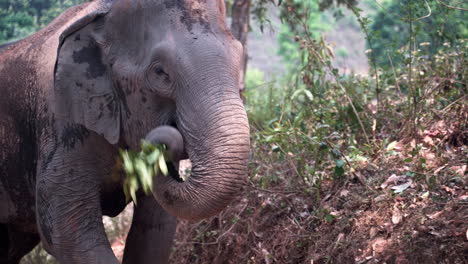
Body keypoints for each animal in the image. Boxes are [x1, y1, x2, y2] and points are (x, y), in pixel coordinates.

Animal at [0, 1, 252, 262]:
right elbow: (66, 234)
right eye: (160, 72)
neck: (100, 13)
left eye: (239, 57)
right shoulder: (61, 125)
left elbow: (154, 227)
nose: (161, 146)